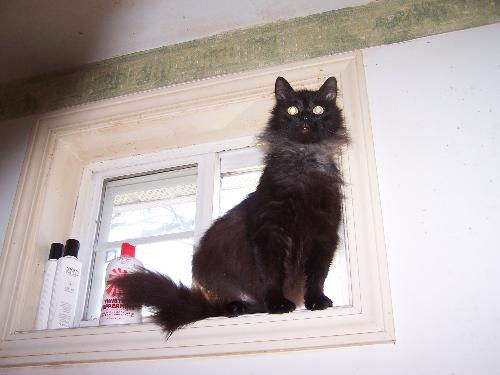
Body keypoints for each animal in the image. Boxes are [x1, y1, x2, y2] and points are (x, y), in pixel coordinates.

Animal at [113, 76, 348, 334]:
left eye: (319, 109)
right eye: (292, 110)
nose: (305, 118)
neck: (303, 163)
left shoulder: (324, 233)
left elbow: (317, 276)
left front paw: (317, 301)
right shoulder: (270, 232)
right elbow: (273, 274)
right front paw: (278, 304)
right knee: (225, 306)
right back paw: (239, 307)